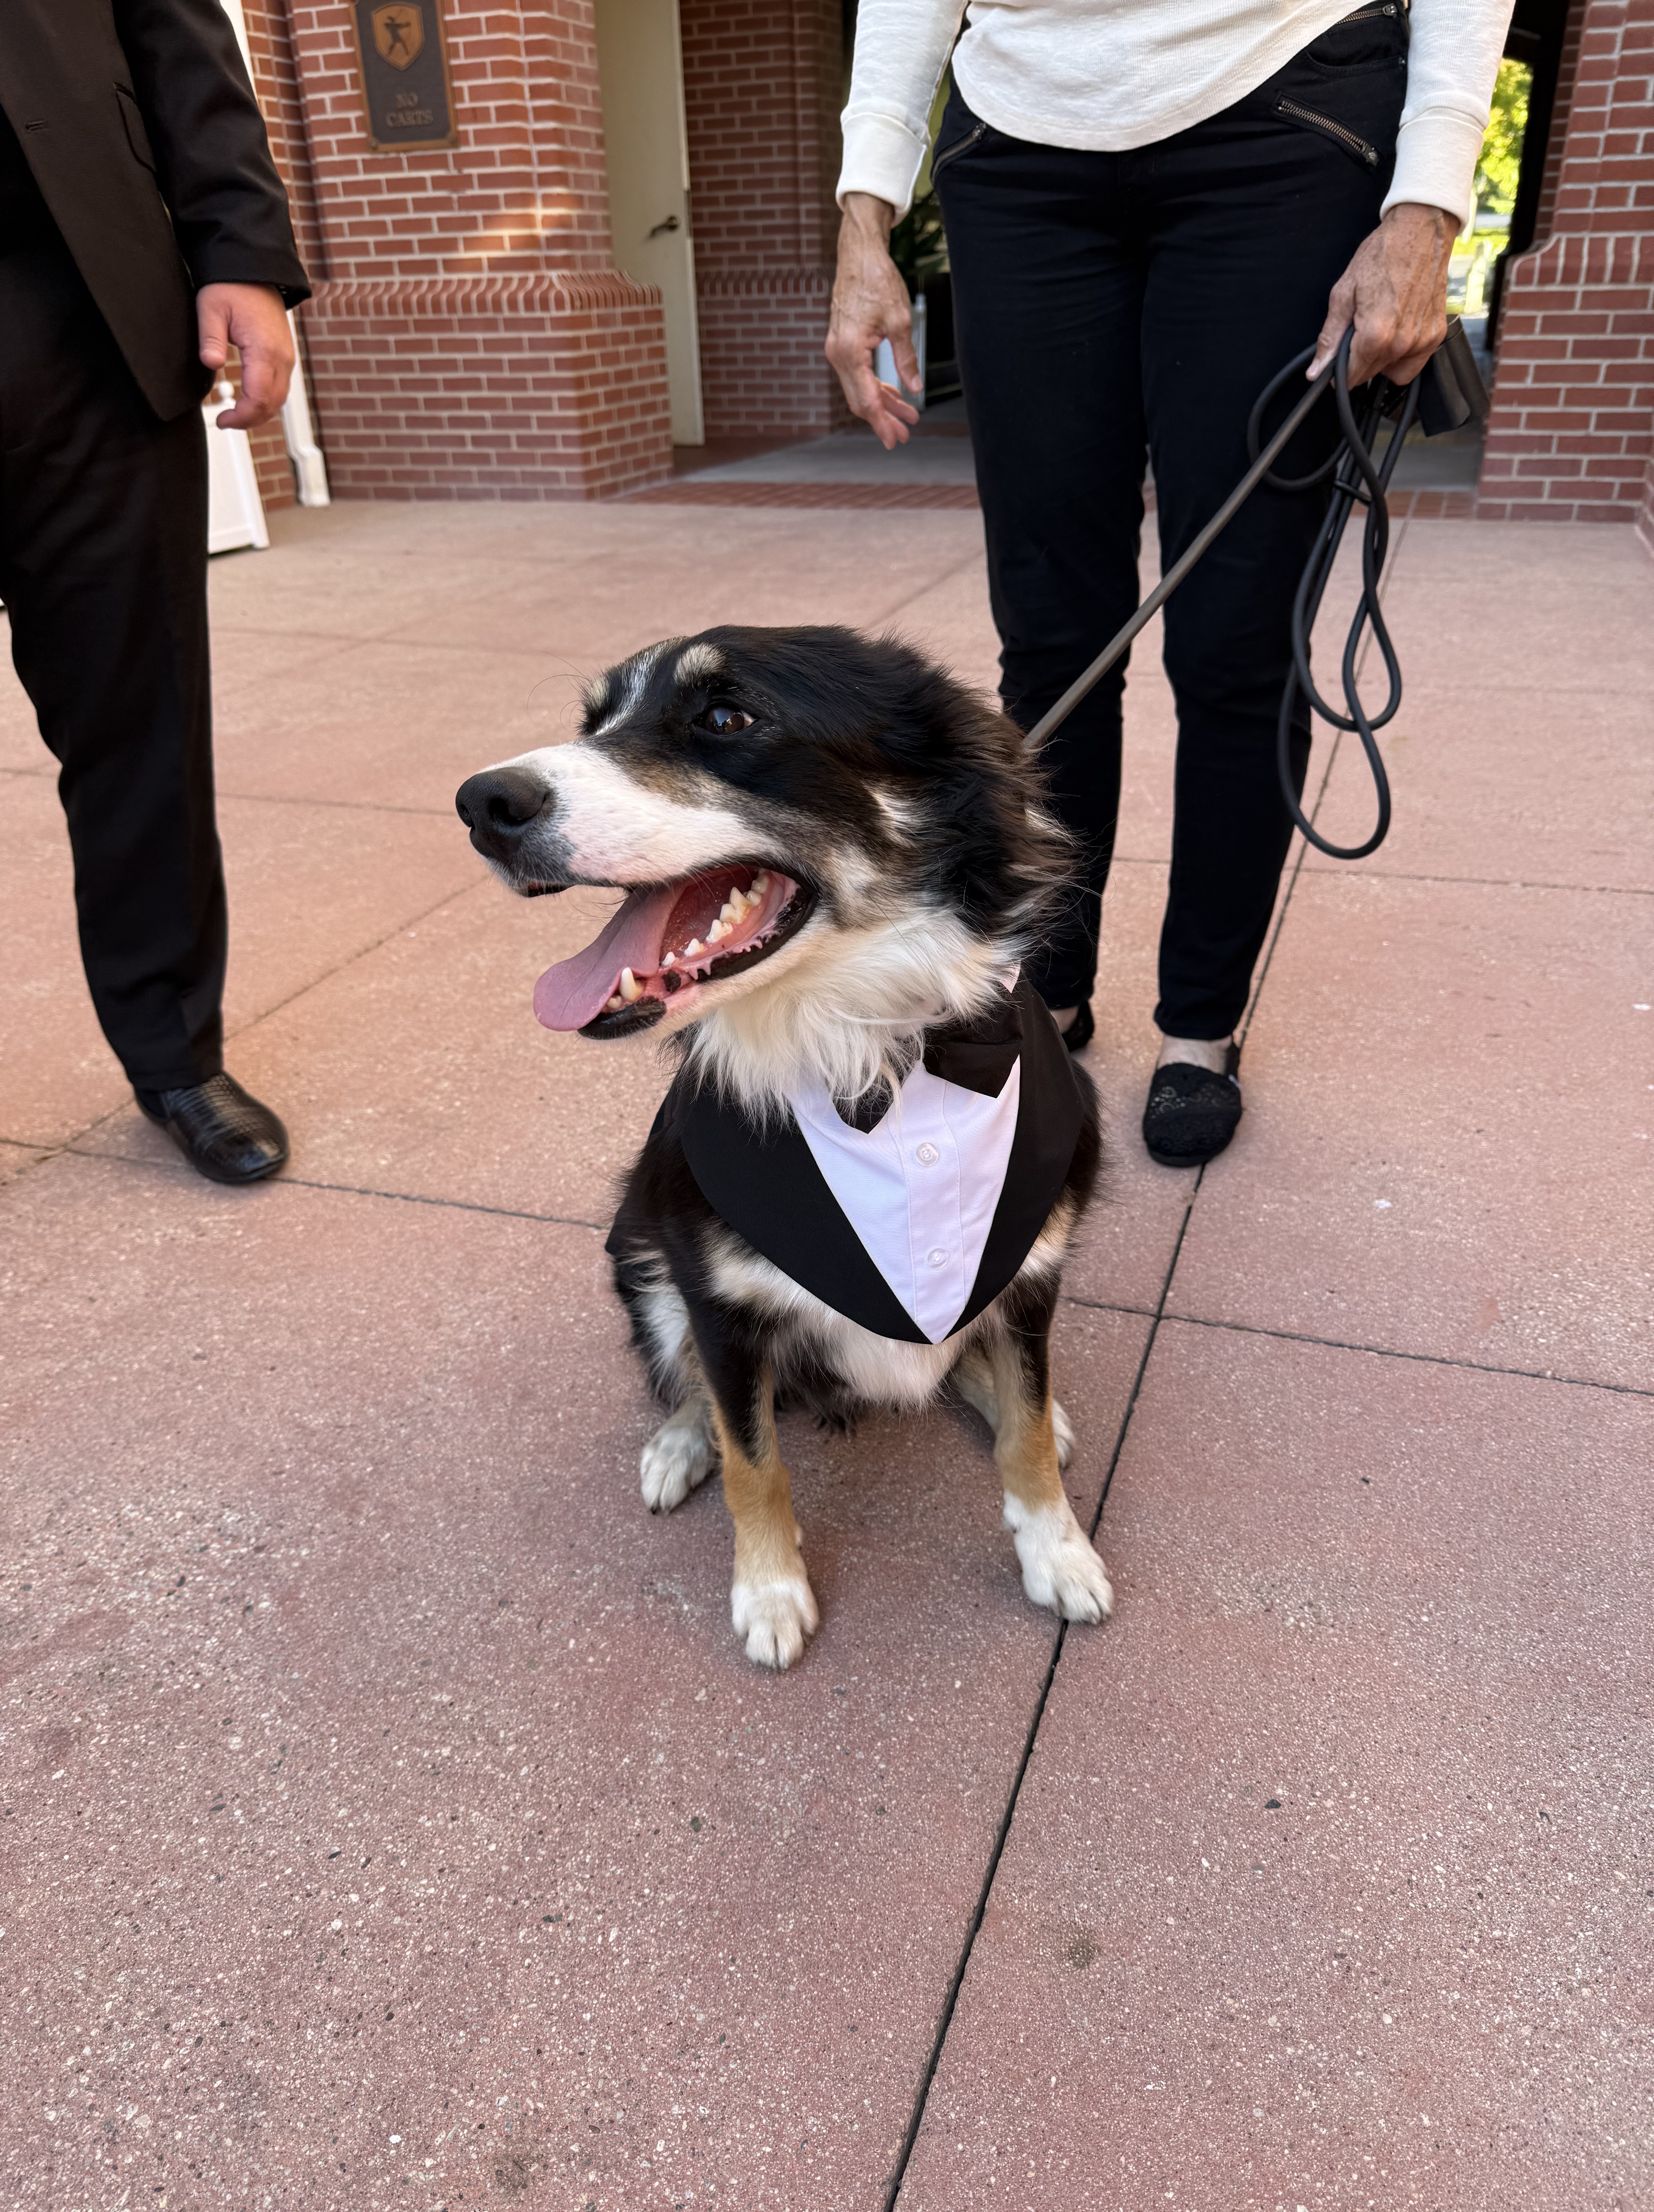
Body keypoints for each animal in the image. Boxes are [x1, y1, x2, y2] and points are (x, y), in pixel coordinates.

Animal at [455, 626, 1113, 1669]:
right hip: (639, 1251)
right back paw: (679, 1444)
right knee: (687, 1381)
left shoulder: (1034, 1267)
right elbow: (752, 1460)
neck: (875, 1057)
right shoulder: (721, 1300)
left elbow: (1025, 1437)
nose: (483, 804)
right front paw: (768, 1594)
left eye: (728, 717)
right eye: (594, 722)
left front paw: (1059, 1552)